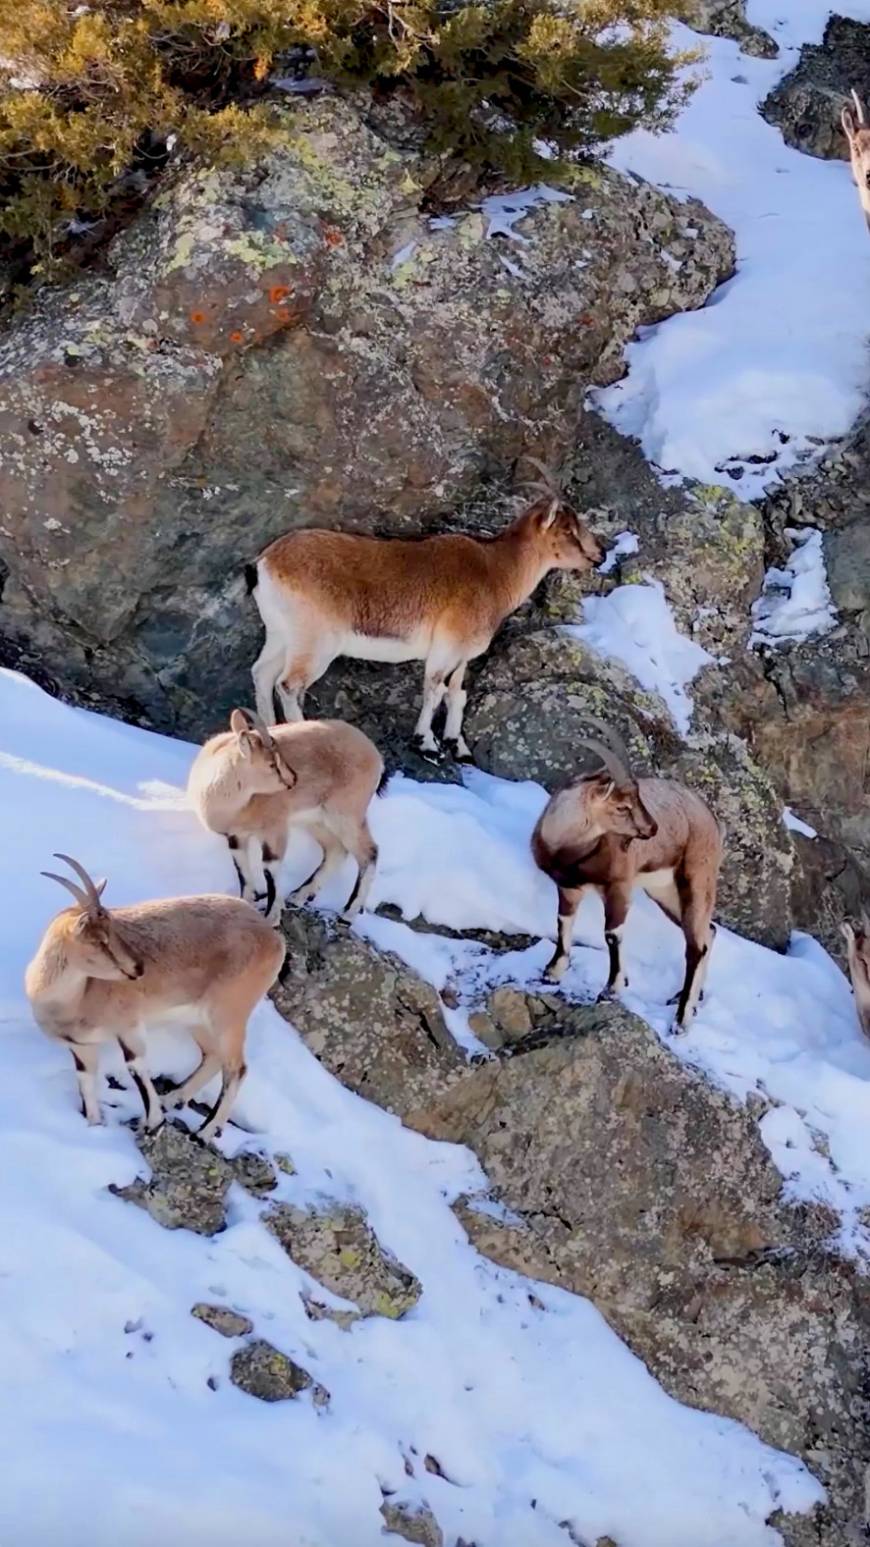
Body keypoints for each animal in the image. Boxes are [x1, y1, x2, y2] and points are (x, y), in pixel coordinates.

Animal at [25, 853, 283, 1144]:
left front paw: (153, 1123)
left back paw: (204, 1132)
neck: (74, 999)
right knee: (213, 1055)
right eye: (100, 940)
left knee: (237, 1068)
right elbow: (87, 1086)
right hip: (196, 1019)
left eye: (113, 929)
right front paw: (95, 1128)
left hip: (229, 1014)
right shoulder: (81, 1046)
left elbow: (135, 1067)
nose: (138, 968)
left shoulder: (128, 1026)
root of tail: (273, 938)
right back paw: (173, 1098)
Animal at [188, 708, 380, 922]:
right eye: (272, 764)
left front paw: (272, 915)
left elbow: (269, 868)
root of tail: (374, 754)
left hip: (346, 814)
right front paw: (246, 902)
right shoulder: (235, 836)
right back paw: (299, 895)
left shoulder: (274, 829)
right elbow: (242, 869)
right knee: (336, 850)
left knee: (369, 853)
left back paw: (349, 912)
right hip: (315, 820)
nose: (293, 780)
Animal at [532, 727, 721, 1039]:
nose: (652, 829)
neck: (570, 849)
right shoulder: (568, 887)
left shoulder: (618, 887)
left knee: (696, 947)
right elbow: (563, 922)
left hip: (696, 880)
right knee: (709, 932)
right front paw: (553, 971)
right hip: (663, 892)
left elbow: (612, 934)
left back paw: (681, 1020)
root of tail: (710, 820)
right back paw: (691, 1002)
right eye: (622, 806)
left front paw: (612, 989)